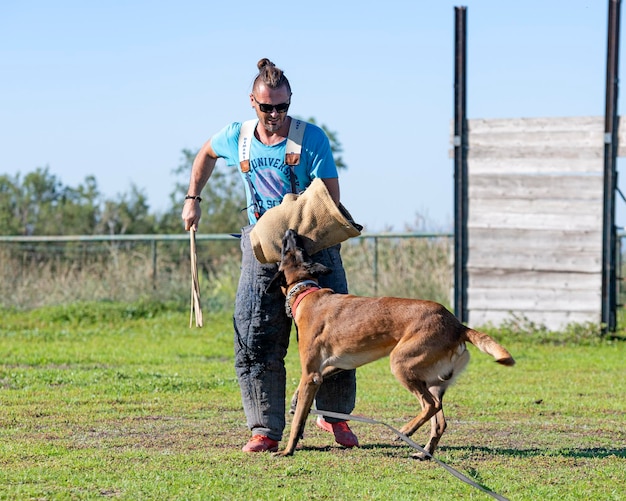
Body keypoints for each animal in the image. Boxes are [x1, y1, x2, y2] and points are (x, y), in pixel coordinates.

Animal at [266, 229, 516, 456]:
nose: (290, 231)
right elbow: (301, 398)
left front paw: (287, 450)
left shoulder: (312, 374)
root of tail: (457, 325)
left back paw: (405, 431)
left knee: (430, 406)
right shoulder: (333, 366)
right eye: (298, 248)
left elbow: (298, 419)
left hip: (401, 364)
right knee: (440, 420)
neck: (305, 291)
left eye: (289, 250)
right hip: (433, 381)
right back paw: (424, 453)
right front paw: (294, 401)